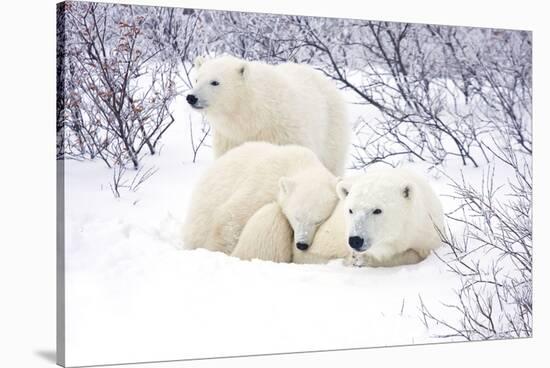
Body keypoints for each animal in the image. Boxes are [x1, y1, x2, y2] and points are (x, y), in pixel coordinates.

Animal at [185, 54, 350, 175]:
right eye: (197, 79)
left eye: (215, 82)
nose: (191, 97)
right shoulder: (230, 138)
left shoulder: (284, 132)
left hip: (331, 127)